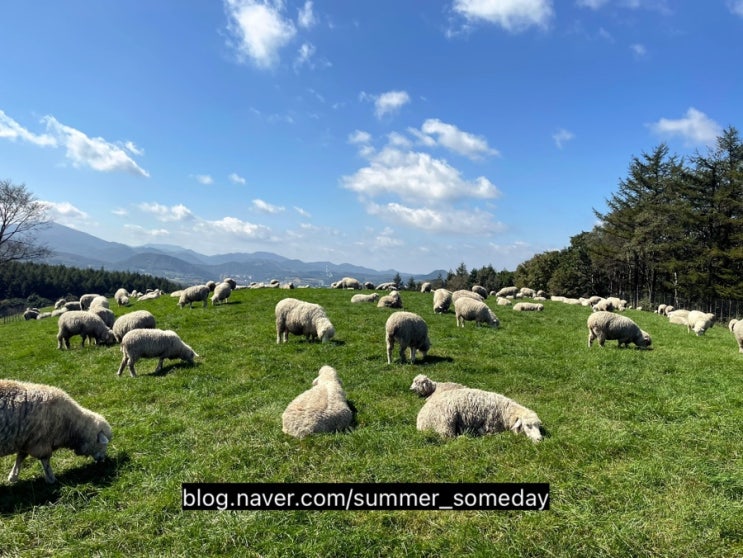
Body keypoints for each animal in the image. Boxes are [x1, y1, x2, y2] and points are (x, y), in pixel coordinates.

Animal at [416, 382, 544, 444]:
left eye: (538, 425)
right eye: (527, 425)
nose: (540, 440)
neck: (505, 411)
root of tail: (420, 422)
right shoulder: (491, 426)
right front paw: (482, 433)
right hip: (445, 422)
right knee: (448, 438)